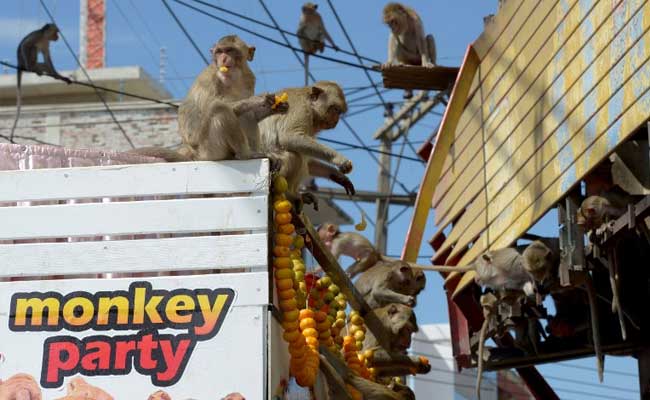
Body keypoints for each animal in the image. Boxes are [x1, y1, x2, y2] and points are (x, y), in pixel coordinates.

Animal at [256, 81, 352, 212]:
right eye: (335, 109)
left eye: (339, 112)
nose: (336, 121)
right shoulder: (301, 109)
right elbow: (289, 136)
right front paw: (339, 159)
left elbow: (309, 161)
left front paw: (337, 175)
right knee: (295, 157)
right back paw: (290, 194)